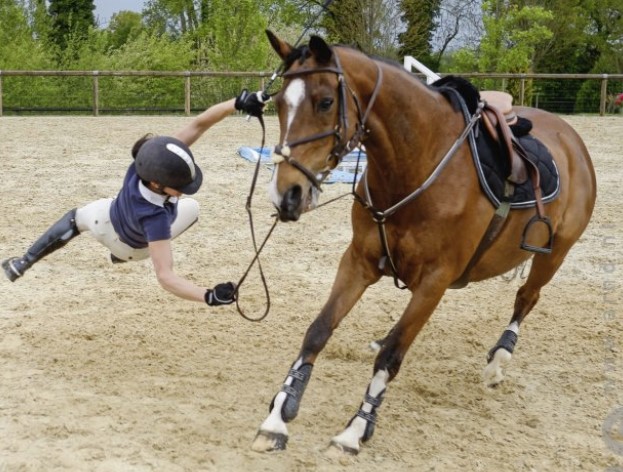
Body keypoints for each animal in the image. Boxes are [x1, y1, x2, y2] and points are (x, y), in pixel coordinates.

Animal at [251, 30, 596, 458]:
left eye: (326, 101)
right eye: (281, 102)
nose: (287, 194)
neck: (416, 164)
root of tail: (572, 139)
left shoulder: (435, 281)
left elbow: (392, 356)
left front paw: (355, 430)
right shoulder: (358, 262)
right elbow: (318, 331)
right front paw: (277, 418)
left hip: (554, 254)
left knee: (526, 298)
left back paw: (499, 360)